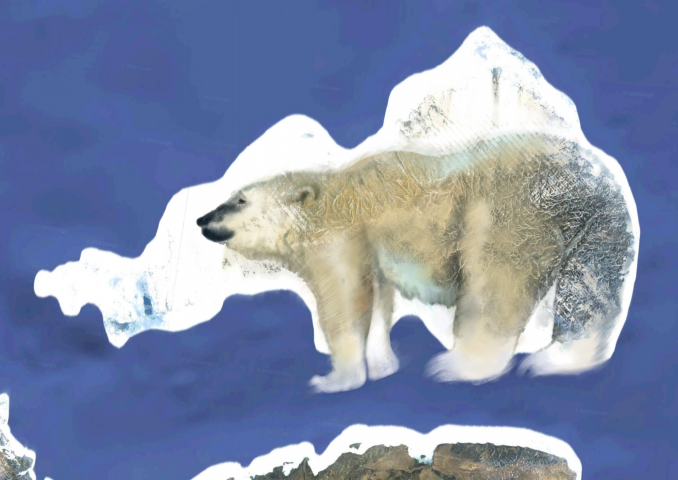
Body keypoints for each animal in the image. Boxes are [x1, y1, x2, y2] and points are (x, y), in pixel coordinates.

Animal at [197, 130, 636, 393]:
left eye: (239, 200)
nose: (202, 220)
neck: (334, 194)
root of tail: (591, 179)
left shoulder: (341, 238)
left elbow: (345, 300)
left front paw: (334, 379)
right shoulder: (370, 246)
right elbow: (378, 299)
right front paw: (382, 362)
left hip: (507, 209)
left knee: (495, 281)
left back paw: (457, 366)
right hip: (601, 229)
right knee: (589, 286)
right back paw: (557, 360)